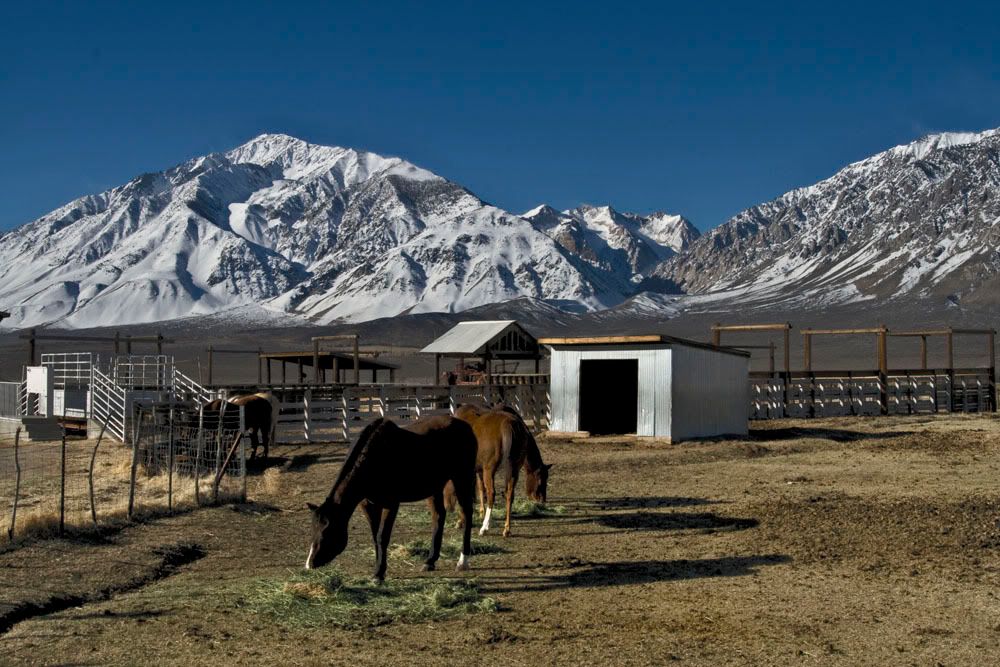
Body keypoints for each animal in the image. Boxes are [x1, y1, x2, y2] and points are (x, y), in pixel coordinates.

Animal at [305, 416, 477, 582]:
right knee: (439, 516)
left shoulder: (391, 504)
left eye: (328, 531)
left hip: (462, 478)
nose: (310, 564)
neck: (373, 459)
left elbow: (382, 537)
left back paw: (463, 561)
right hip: (435, 487)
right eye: (313, 529)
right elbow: (375, 536)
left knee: (466, 513)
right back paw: (430, 561)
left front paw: (379, 574)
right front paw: (378, 569)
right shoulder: (367, 505)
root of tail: (465, 425)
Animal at [447, 404, 553, 538]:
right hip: (513, 470)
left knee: (492, 494)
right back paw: (506, 529)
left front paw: (461, 520)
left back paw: (484, 528)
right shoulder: (478, 469)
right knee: (509, 494)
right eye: (540, 481)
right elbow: (480, 489)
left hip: (490, 470)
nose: (542, 500)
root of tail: (509, 424)